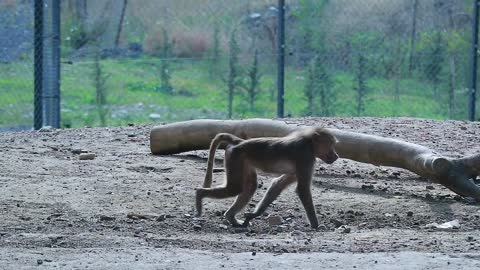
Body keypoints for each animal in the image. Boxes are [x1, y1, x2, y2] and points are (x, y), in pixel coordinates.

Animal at [195, 127, 338, 229]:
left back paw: (232, 218)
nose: (336, 156)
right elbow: (302, 189)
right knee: (235, 188)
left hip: (242, 160)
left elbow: (277, 184)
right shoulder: (306, 158)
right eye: (330, 145)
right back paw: (199, 194)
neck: (309, 143)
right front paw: (316, 226)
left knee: (250, 186)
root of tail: (240, 142)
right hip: (235, 156)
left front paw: (254, 214)